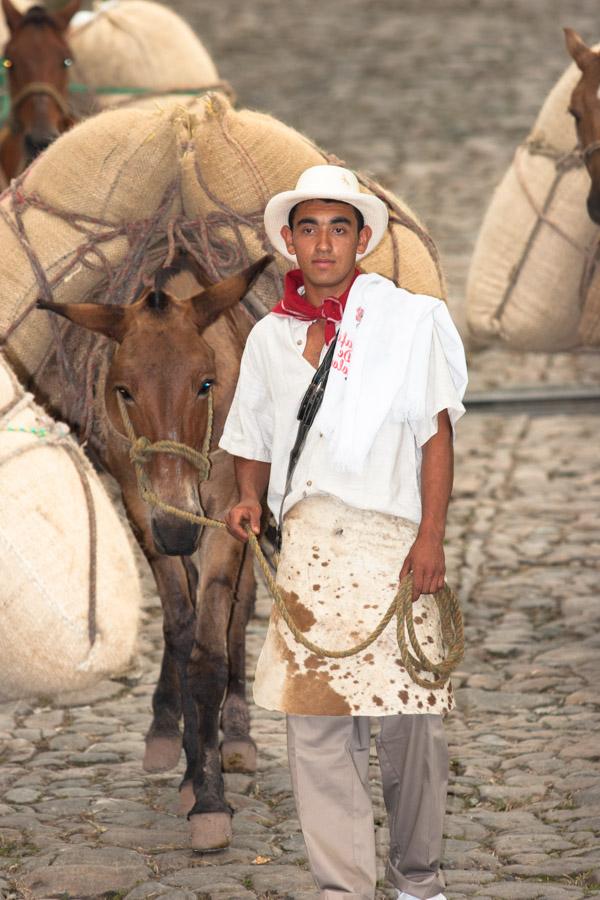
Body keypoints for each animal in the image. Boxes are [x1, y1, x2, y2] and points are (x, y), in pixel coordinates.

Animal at [38, 253, 272, 852]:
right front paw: (192, 772)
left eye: (205, 383)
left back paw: (237, 733)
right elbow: (182, 631)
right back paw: (166, 729)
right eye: (123, 390)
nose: (178, 529)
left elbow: (210, 652)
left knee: (238, 611)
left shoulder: (227, 516)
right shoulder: (142, 511)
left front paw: (211, 800)